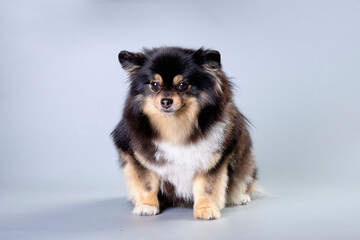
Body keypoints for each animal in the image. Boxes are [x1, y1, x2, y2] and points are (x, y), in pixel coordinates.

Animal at [111, 46, 258, 219]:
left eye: (182, 85)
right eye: (154, 85)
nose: (166, 101)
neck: (175, 127)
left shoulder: (213, 159)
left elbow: (207, 187)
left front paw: (206, 209)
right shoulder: (138, 156)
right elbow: (147, 184)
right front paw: (147, 206)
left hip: (245, 161)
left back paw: (242, 196)